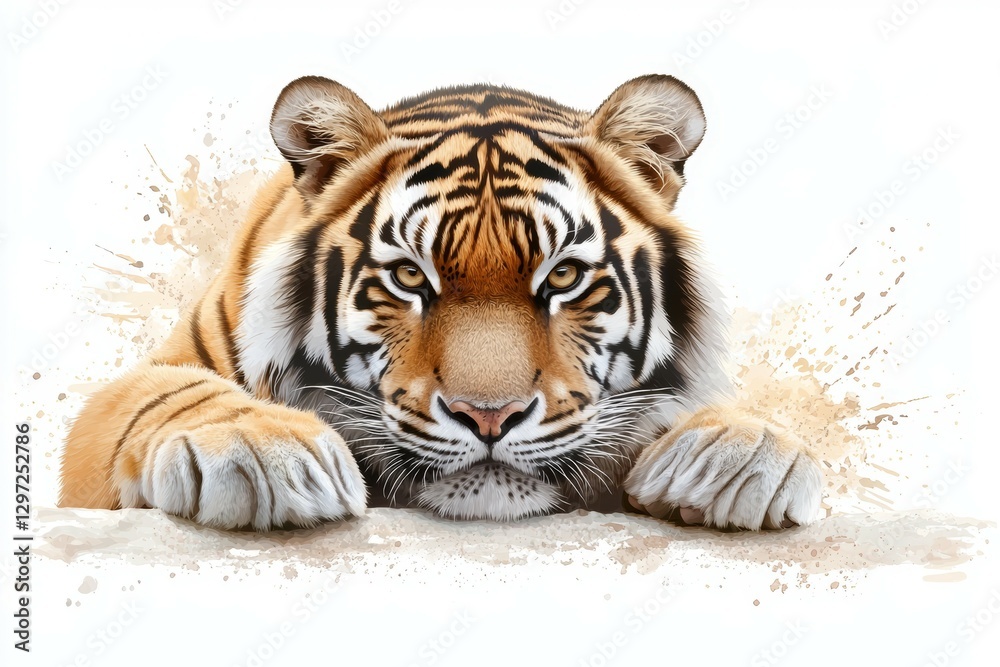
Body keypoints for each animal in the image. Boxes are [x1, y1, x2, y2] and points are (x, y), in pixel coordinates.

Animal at [59, 74, 823, 531]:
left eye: (563, 277)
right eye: (408, 277)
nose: (490, 417)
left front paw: (738, 453)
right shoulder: (143, 385)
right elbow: (174, 395)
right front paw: (261, 449)